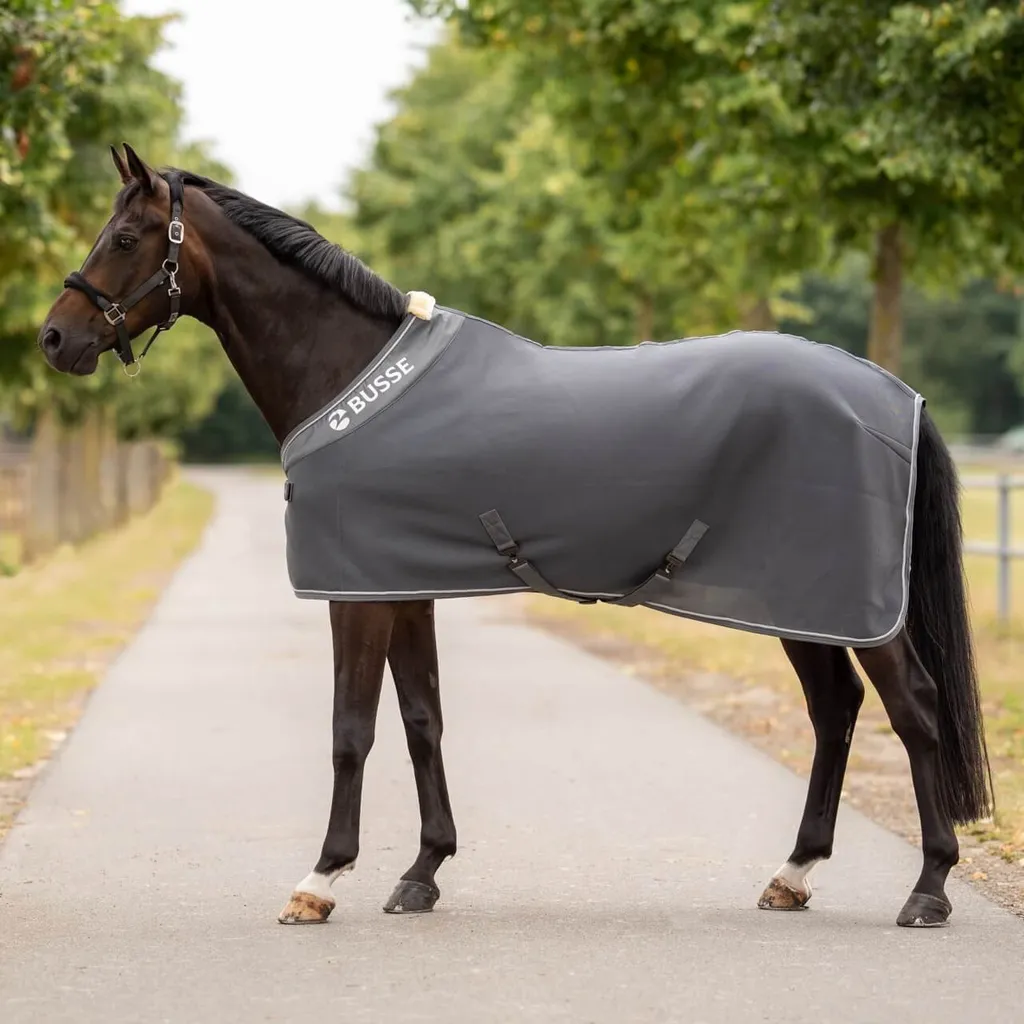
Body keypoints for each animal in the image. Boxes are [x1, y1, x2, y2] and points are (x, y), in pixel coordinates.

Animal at [38, 144, 991, 929]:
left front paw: (321, 880)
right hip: (799, 598)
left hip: (854, 605)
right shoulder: (400, 584)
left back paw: (929, 889)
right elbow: (422, 719)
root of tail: (895, 394)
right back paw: (792, 875)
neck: (349, 375)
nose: (54, 338)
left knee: (915, 711)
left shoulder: (355, 593)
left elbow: (352, 729)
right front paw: (421, 873)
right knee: (835, 712)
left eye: (125, 237)